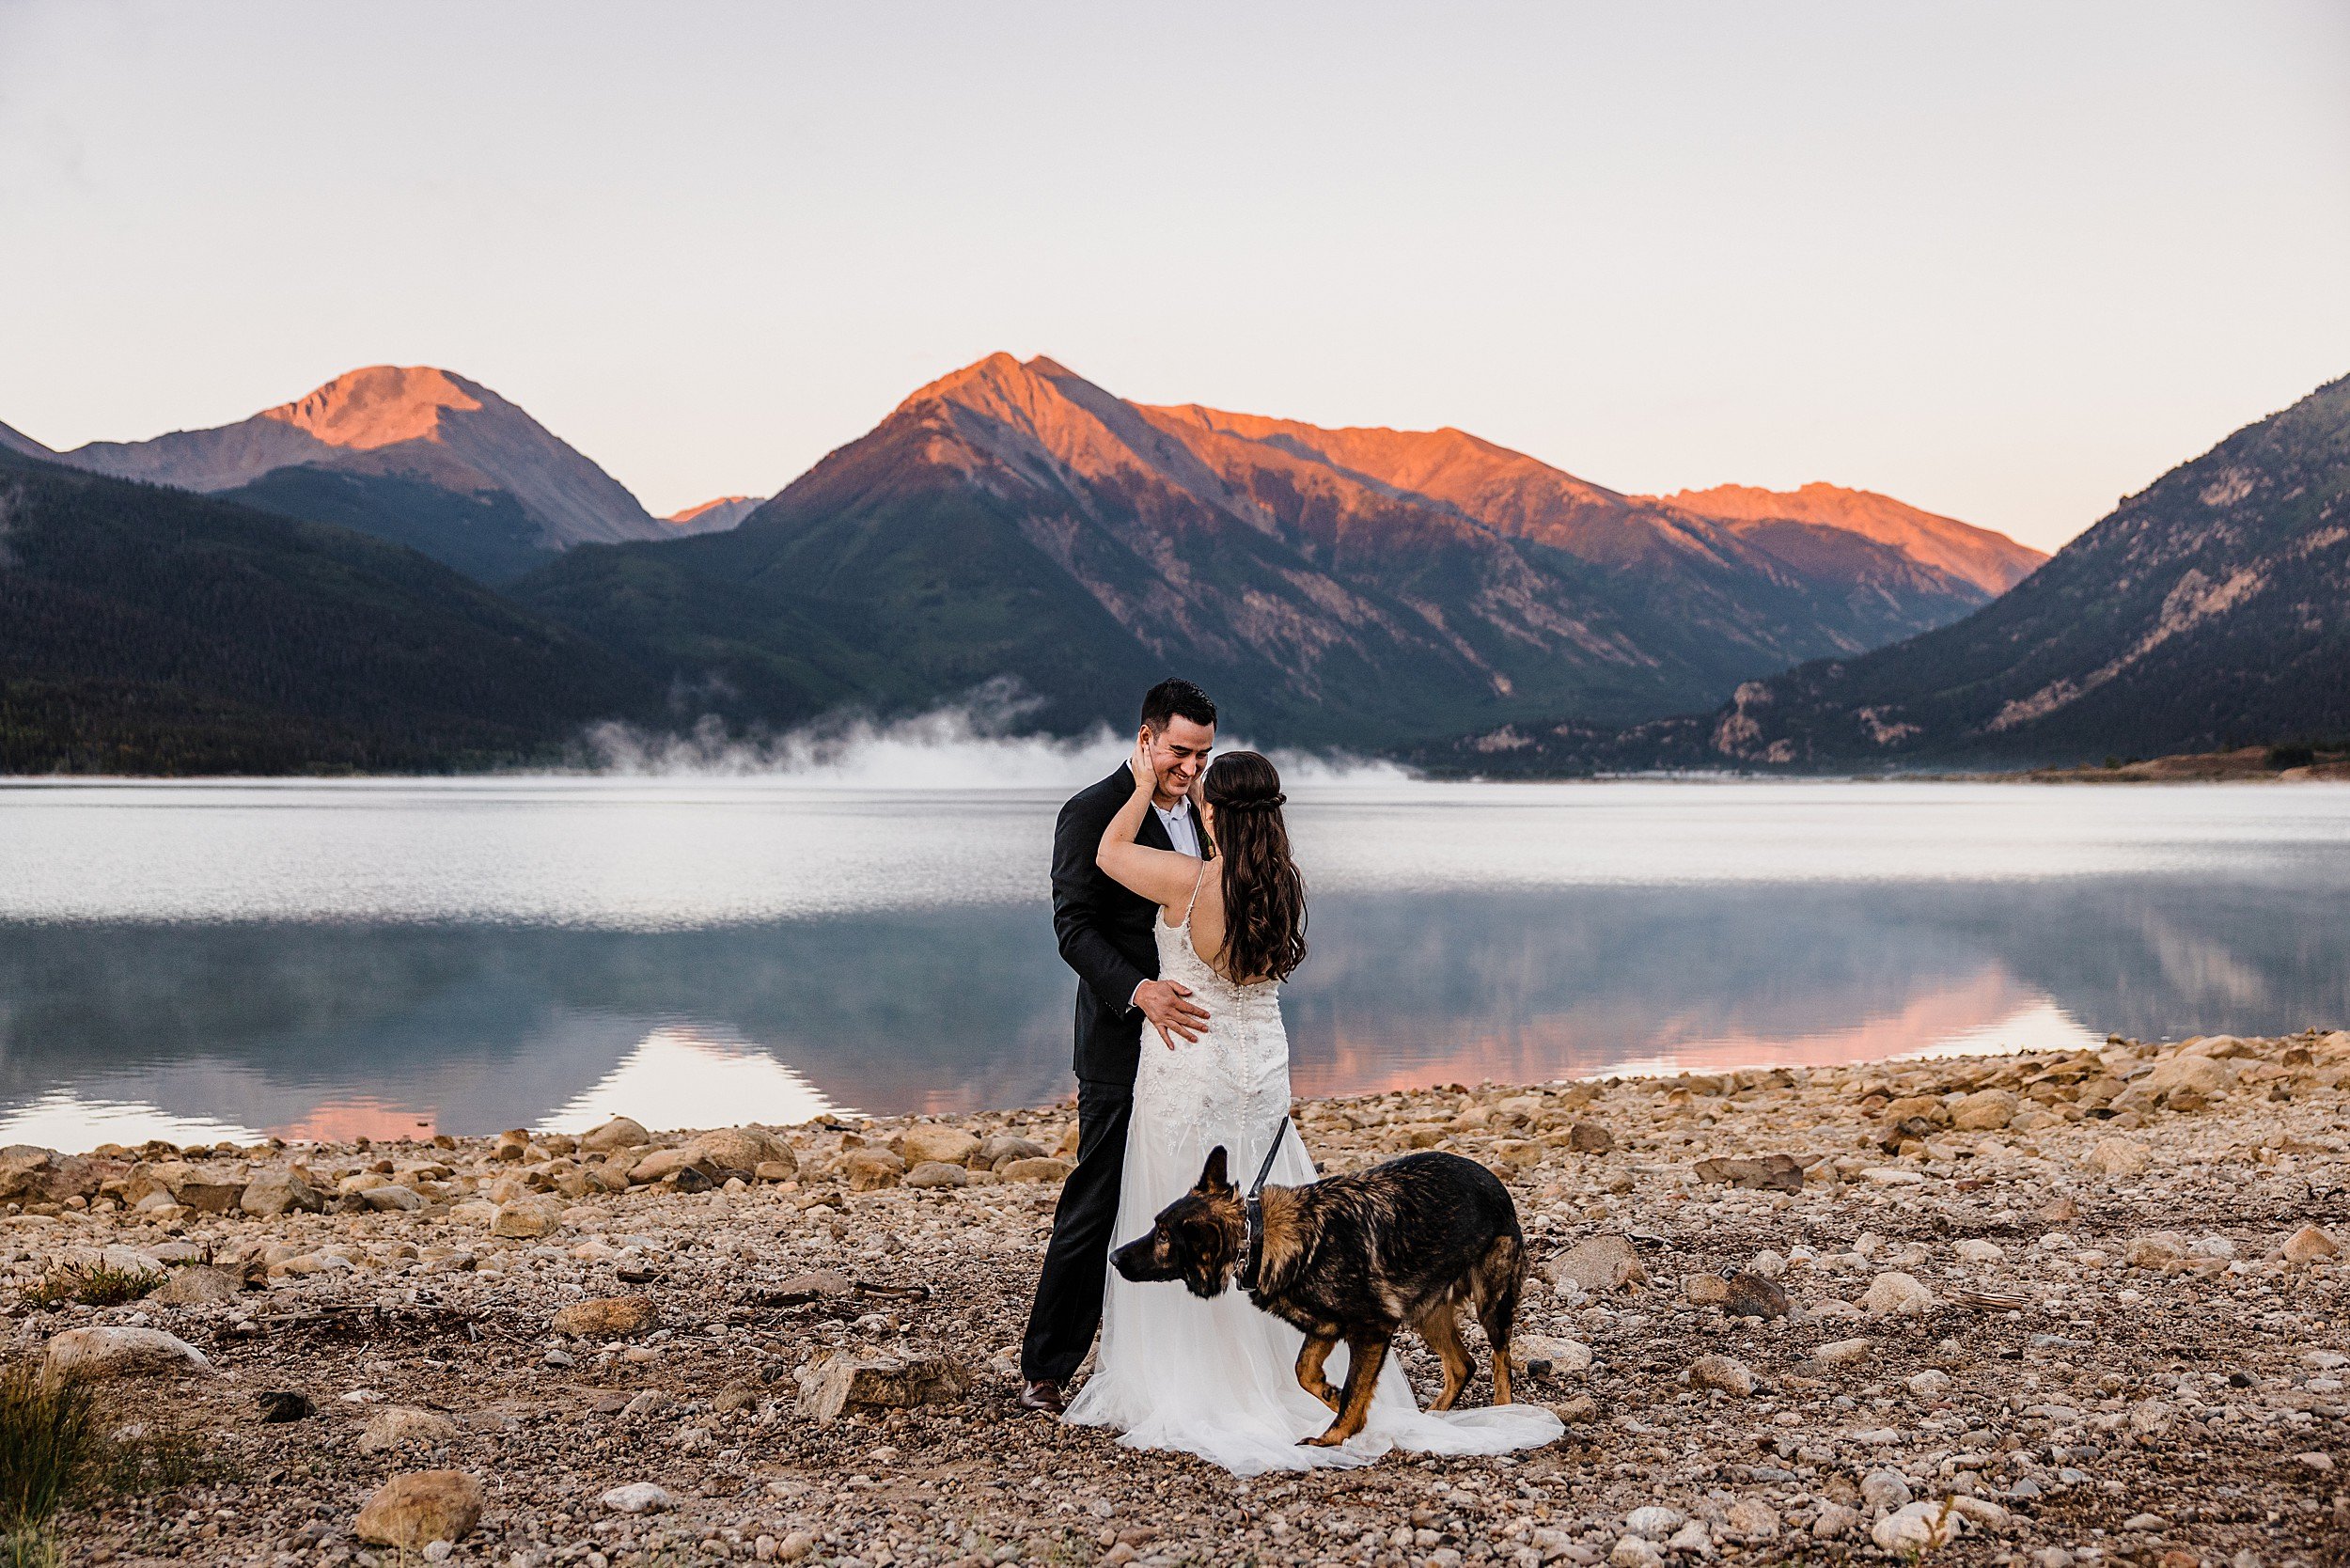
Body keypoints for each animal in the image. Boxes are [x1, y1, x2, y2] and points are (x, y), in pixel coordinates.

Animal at [1114, 1142, 1532, 1448]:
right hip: (1426, 1313)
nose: (1114, 1257)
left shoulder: (1372, 1329)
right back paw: (1432, 1417)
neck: (1259, 1236)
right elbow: (1304, 1372)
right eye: (1156, 1229)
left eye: (1163, 1237)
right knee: (1463, 1365)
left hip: (1490, 1302)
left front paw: (1334, 1436)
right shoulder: (1325, 1329)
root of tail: (1492, 1180)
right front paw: (1330, 1394)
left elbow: (1353, 1392)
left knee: (1500, 1361)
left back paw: (1504, 1415)